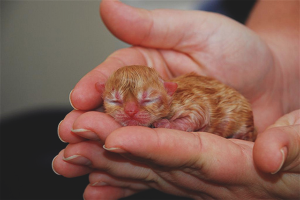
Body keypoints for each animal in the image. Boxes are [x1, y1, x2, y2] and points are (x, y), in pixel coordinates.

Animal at [97, 65, 256, 141]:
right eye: (115, 101)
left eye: (148, 100)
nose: (130, 111)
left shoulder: (192, 101)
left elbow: (198, 114)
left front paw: (168, 124)